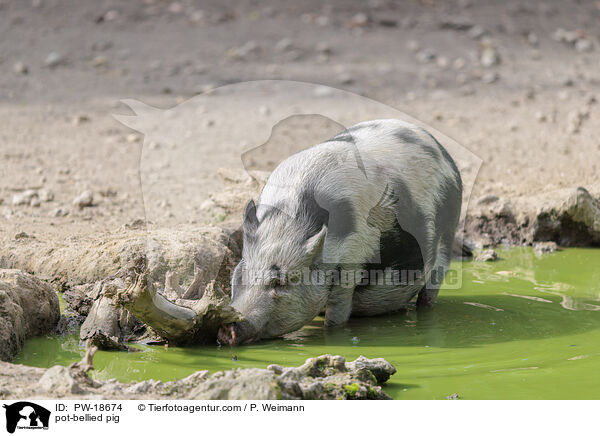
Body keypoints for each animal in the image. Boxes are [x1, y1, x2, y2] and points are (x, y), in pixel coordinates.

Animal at [218, 118, 462, 344]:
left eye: (281, 282)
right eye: (240, 273)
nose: (229, 327)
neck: (289, 222)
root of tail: (440, 148)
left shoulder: (352, 260)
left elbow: (337, 312)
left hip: (448, 233)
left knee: (433, 285)